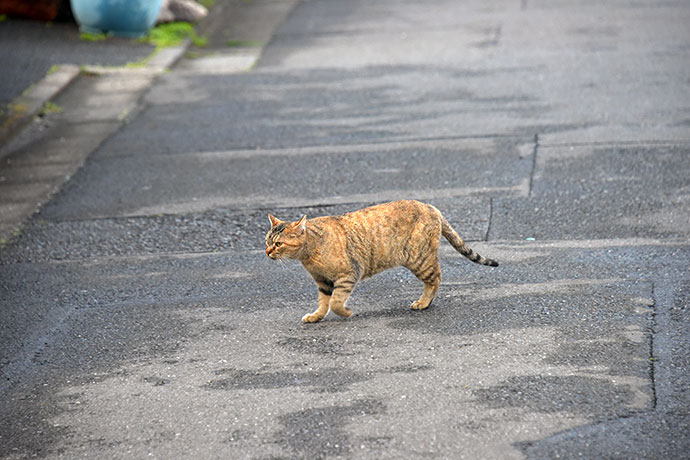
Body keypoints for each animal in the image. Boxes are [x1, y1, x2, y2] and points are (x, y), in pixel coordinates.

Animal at [264, 199, 494, 324]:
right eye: (267, 240)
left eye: (278, 244)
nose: (266, 252)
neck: (309, 253)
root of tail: (430, 206)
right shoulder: (323, 282)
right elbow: (324, 302)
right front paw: (316, 316)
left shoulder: (349, 274)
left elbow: (336, 302)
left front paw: (346, 312)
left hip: (418, 258)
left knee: (436, 277)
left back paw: (424, 302)